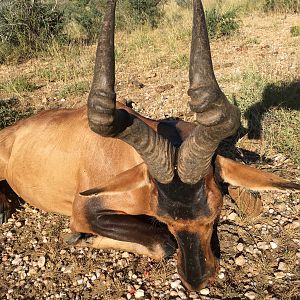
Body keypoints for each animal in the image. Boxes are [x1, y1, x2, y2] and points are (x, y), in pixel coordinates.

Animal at [0, 0, 300, 292]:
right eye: (164, 218)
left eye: (213, 212)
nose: (196, 281)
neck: (123, 155)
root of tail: (13, 131)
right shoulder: (82, 211)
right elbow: (163, 241)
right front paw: (78, 237)